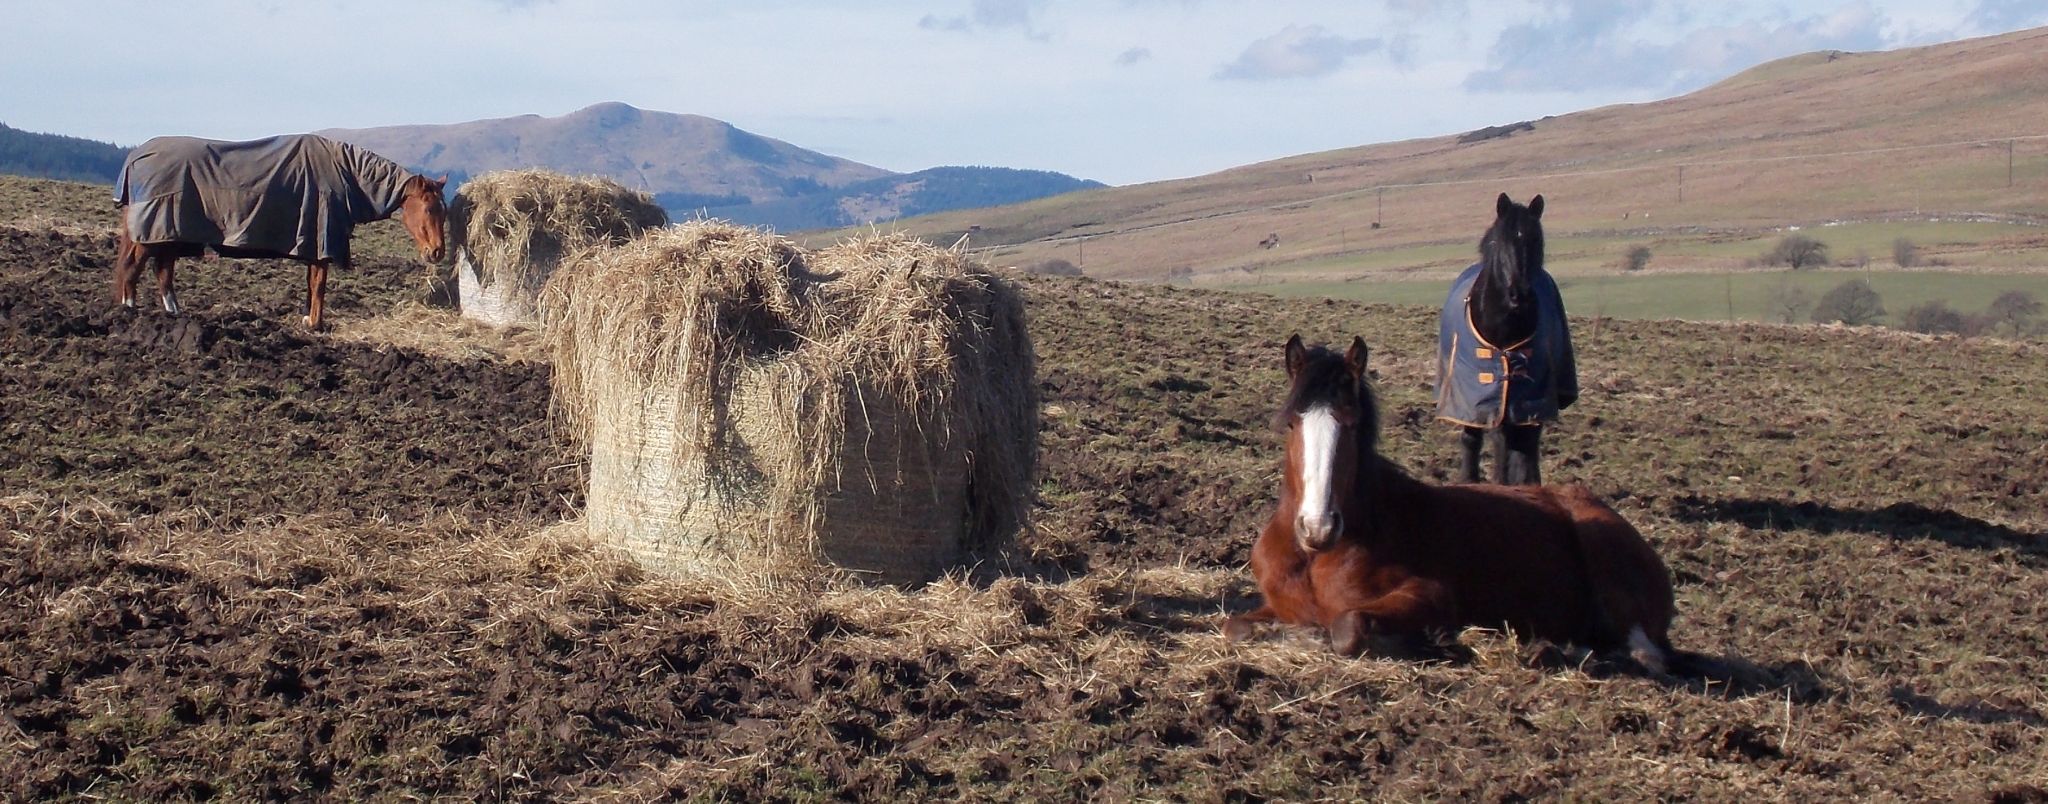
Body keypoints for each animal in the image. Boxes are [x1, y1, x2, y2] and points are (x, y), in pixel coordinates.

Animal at [113, 132, 448, 327]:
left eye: (444, 210)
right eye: (430, 209)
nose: (437, 252)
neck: (346, 174)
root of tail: (135, 157)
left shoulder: (312, 244)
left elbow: (311, 283)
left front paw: (308, 319)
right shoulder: (320, 240)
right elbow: (319, 285)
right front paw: (315, 325)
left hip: (168, 234)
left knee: (162, 271)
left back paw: (173, 312)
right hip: (152, 232)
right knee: (133, 267)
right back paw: (128, 309)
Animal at [1220, 333, 1671, 671]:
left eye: (1350, 423)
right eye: (1292, 423)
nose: (1319, 527)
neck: (1314, 557)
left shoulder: (1430, 595)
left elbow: (1347, 626)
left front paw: (1431, 641)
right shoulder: (1274, 604)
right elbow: (1235, 626)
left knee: (1643, 652)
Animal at [1433, 194, 1572, 482]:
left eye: (1536, 240)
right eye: (1500, 241)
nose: (1520, 294)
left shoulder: (1530, 398)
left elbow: (1523, 446)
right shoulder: (1484, 398)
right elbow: (1495, 441)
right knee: (1474, 438)